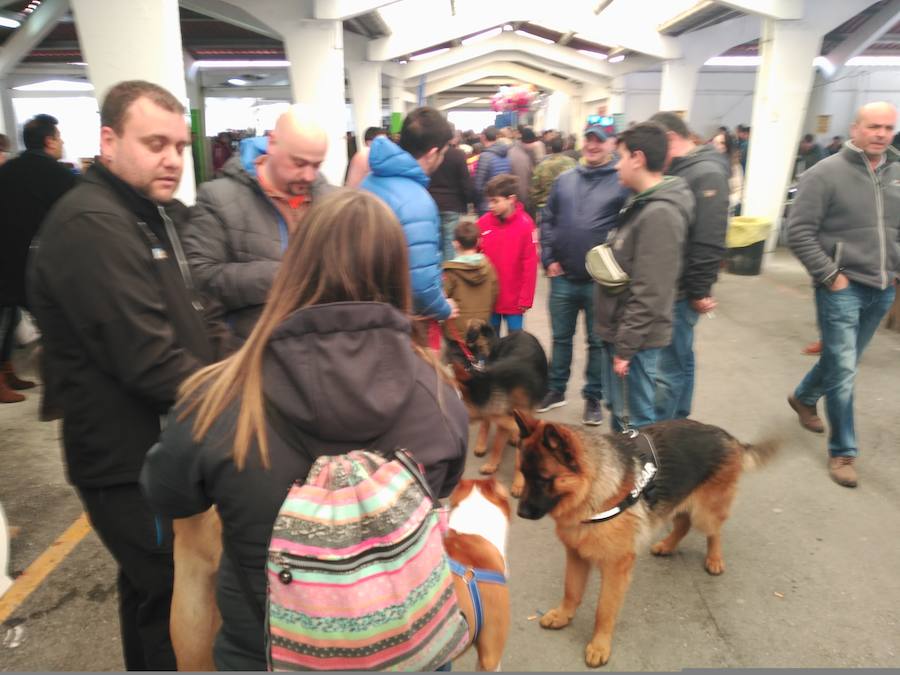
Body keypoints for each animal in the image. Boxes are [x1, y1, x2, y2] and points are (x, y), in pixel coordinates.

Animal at [450, 322, 548, 496]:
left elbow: (519, 459)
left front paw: (518, 484)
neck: (496, 387)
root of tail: (519, 332)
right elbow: (496, 446)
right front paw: (492, 465)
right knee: (486, 423)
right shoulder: (501, 419)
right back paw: (481, 445)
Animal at [510, 414, 776, 668]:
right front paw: (563, 616)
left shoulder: (616, 569)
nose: (520, 513)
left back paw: (714, 558)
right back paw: (667, 546)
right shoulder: (576, 555)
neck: (596, 489)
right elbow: (571, 591)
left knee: (714, 531)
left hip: (706, 514)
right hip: (676, 501)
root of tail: (728, 437)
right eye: (522, 473)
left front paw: (599, 645)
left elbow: (604, 609)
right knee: (683, 524)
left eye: (543, 479)